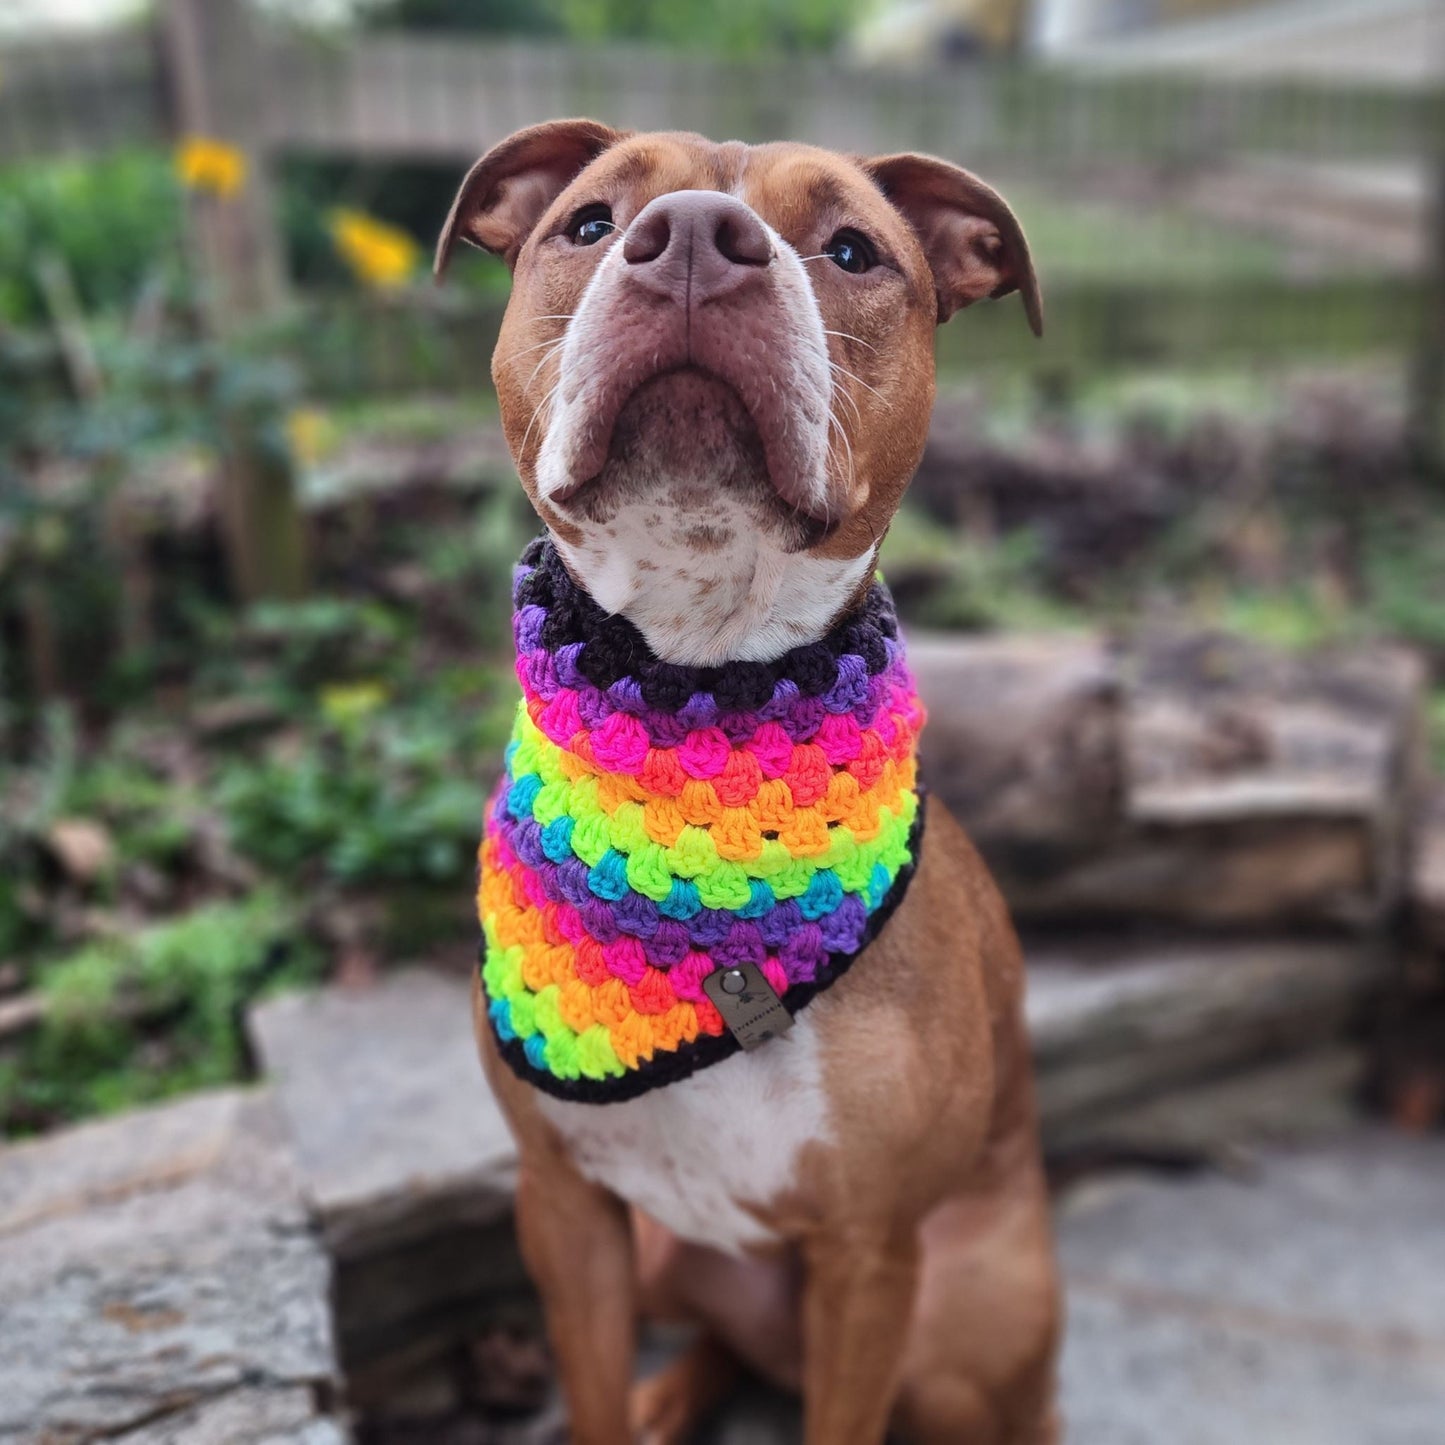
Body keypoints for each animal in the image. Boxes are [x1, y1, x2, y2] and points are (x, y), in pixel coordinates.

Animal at [433, 124, 1057, 1445]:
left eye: (853, 251)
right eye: (585, 222)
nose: (690, 241)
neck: (699, 667)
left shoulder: (868, 1253)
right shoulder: (562, 1206)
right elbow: (589, 1394)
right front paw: (623, 1402)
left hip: (961, 1326)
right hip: (670, 1253)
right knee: (719, 1337)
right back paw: (673, 1392)